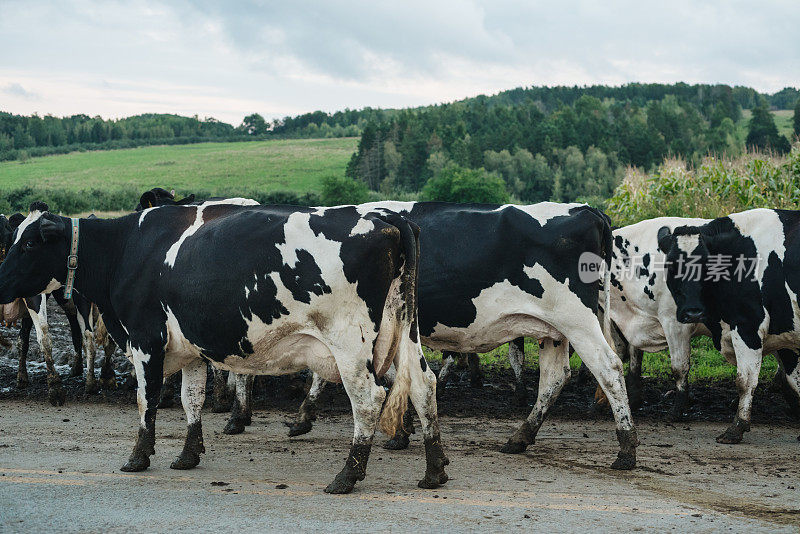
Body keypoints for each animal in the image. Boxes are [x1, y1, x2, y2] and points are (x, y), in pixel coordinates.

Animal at [0, 203, 450, 496]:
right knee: (423, 386)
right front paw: (188, 454)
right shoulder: (190, 349)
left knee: (369, 400)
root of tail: (386, 216)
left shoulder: (146, 340)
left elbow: (147, 401)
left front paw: (138, 457)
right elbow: (190, 399)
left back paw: (347, 476)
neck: (125, 249)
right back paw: (434, 470)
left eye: (28, 245)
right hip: (403, 332)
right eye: (14, 239)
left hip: (350, 344)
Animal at [656, 209, 800, 444]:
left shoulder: (747, 326)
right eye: (672, 265)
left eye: (706, 265)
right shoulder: (785, 337)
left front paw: (736, 428)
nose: (692, 311)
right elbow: (794, 382)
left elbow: (745, 381)